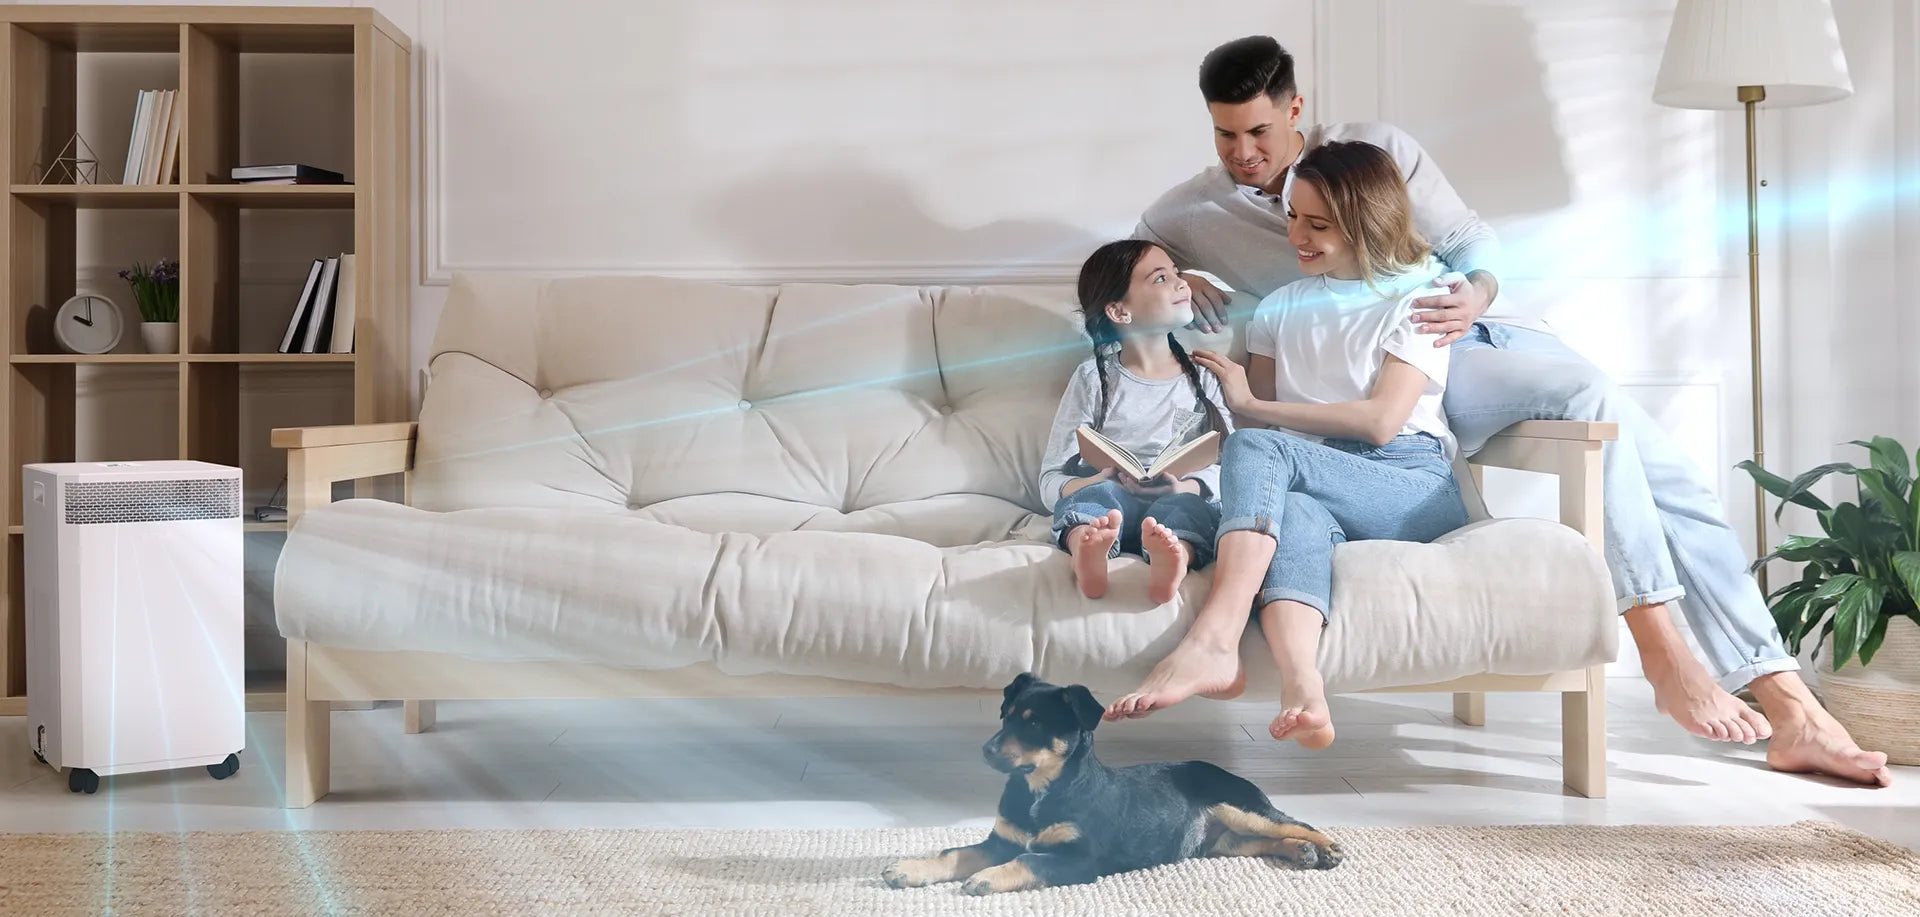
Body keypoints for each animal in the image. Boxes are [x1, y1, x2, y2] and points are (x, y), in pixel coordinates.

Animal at [879, 675, 1344, 893]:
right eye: (1006, 716)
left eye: (1035, 725)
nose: (986, 751)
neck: (1038, 791)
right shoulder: (1002, 840)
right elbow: (955, 852)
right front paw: (908, 868)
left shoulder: (1081, 859)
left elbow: (1029, 859)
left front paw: (987, 879)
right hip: (1221, 841)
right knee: (1261, 840)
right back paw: (1302, 853)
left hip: (1239, 806)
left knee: (1293, 823)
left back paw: (1327, 848)